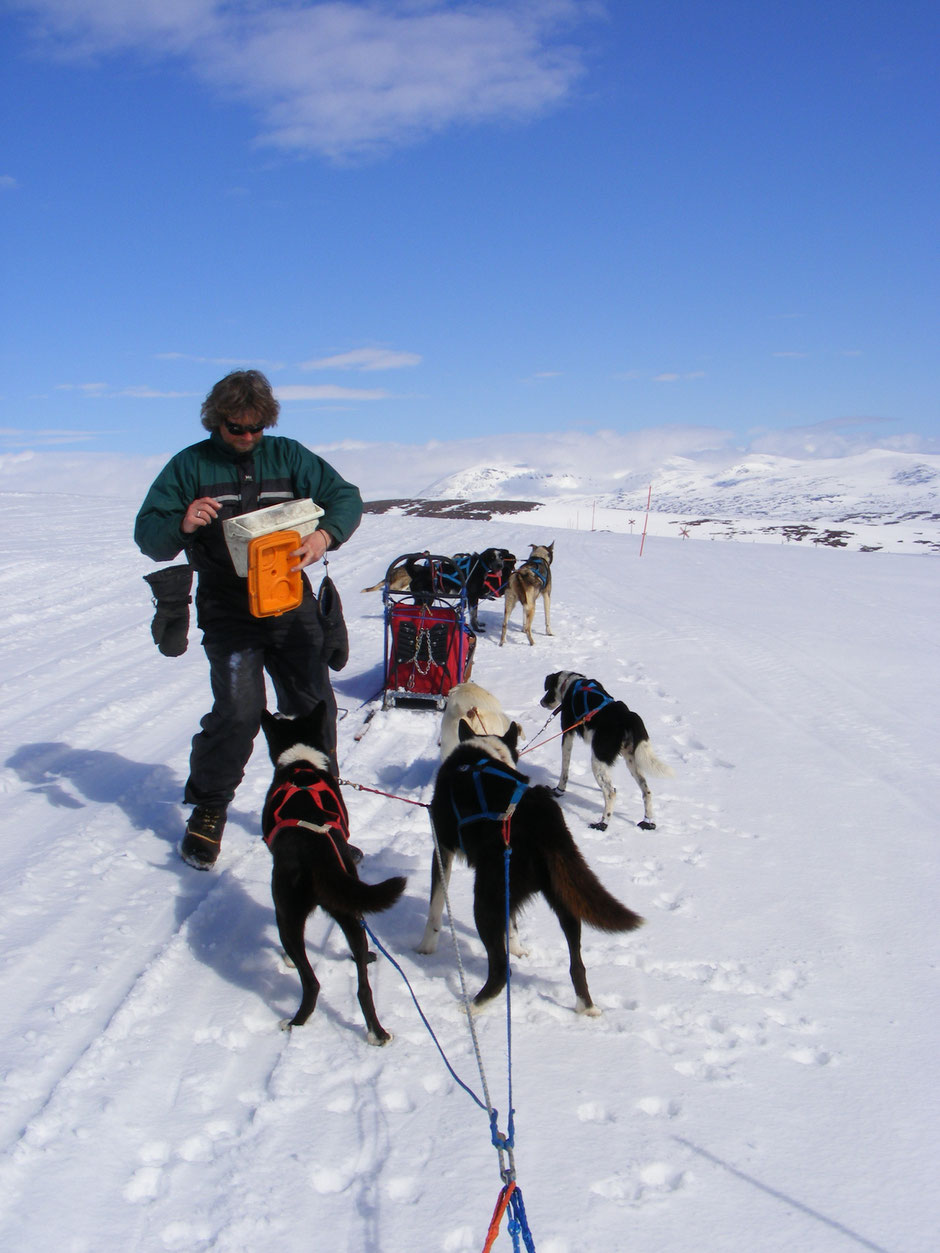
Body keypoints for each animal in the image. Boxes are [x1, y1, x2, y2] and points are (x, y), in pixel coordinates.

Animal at [259, 706, 406, 1037]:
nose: (277, 709)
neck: (301, 765)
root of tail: (315, 853)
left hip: (286, 916)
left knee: (311, 982)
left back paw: (294, 1021)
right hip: (351, 909)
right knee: (363, 986)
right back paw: (377, 1033)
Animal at [418, 721, 646, 1012]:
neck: (486, 754)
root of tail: (544, 822)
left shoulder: (442, 849)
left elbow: (435, 907)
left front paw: (425, 947)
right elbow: (512, 924)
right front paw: (517, 948)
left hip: (486, 898)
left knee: (501, 971)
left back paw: (470, 1007)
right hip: (563, 897)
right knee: (577, 966)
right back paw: (587, 1008)